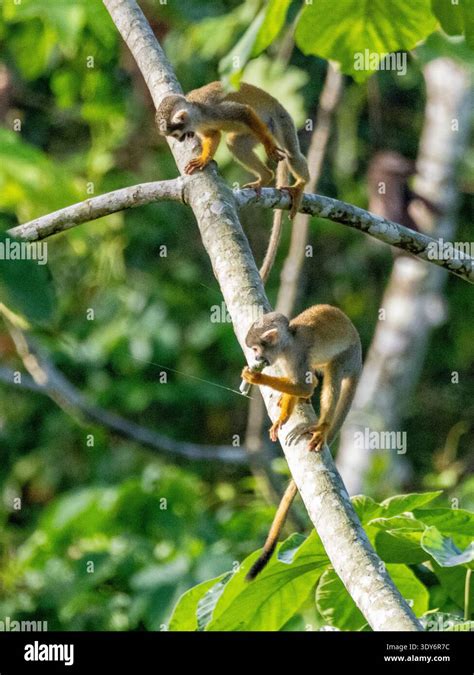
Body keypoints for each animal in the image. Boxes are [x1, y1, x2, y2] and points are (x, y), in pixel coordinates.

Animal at [155, 82, 309, 281]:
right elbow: (213, 134)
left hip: (280, 119)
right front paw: (204, 159)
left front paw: (268, 145)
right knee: (235, 143)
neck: (196, 113)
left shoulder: (212, 110)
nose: (180, 139)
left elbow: (244, 112)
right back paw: (265, 176)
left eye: (175, 133)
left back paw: (301, 183)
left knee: (292, 155)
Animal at [241, 304, 362, 579]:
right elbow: (299, 385)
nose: (256, 359)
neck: (288, 344)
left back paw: (323, 426)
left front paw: (256, 379)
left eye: (256, 349)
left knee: (333, 373)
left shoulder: (296, 355)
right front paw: (282, 418)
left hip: (348, 357)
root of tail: (360, 359)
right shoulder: (284, 361)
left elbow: (303, 386)